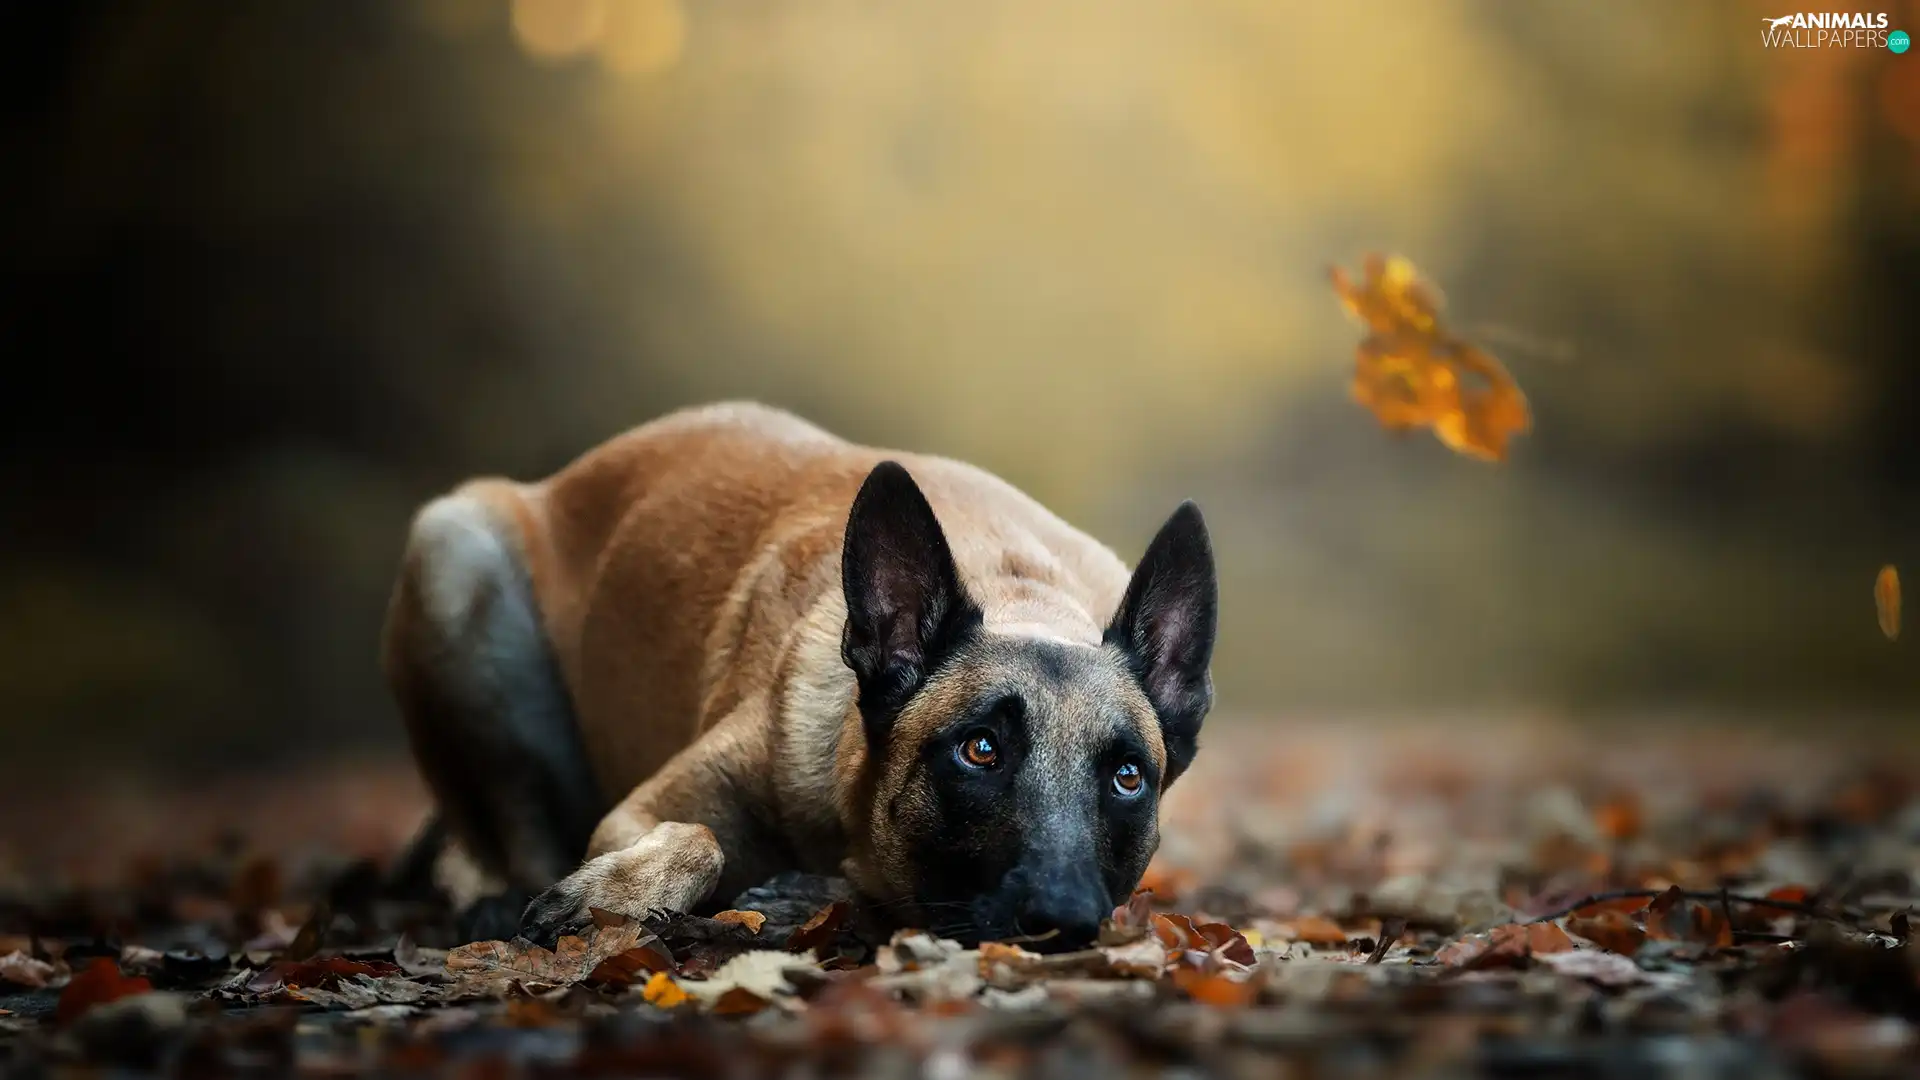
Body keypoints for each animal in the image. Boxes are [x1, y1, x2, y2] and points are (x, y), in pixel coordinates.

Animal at [378, 401, 1213, 941]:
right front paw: (614, 895)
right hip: (457, 556)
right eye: (980, 750)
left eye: (1127, 777)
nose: (1065, 920)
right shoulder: (635, 814)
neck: (1020, 588)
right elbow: (698, 839)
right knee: (510, 829)